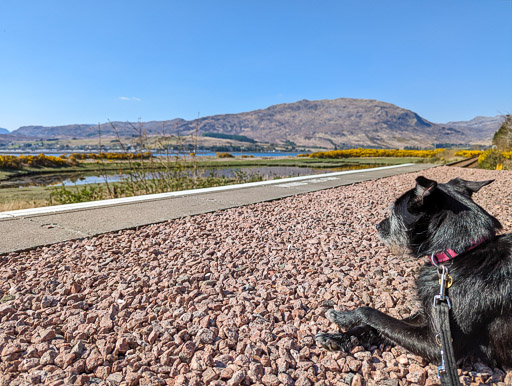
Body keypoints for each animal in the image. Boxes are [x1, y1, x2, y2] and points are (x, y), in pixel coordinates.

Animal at [316, 176, 512, 370]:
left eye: (394, 214)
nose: (377, 225)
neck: (461, 252)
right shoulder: (428, 314)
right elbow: (374, 326)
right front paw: (339, 332)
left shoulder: (438, 345)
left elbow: (370, 313)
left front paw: (346, 318)